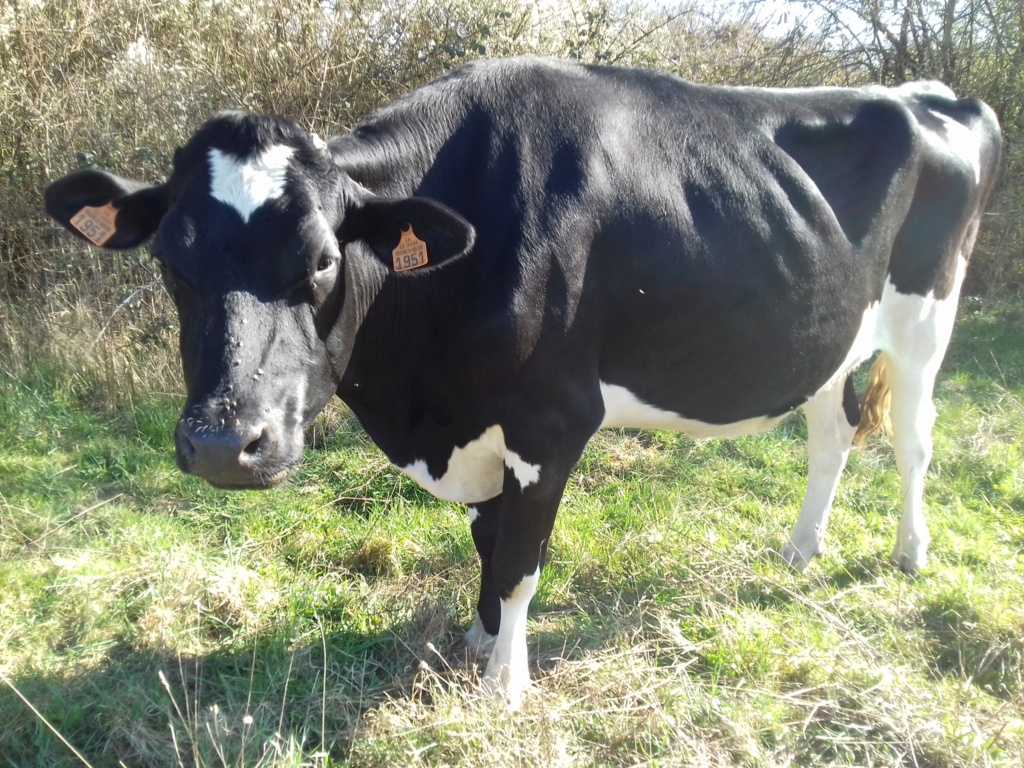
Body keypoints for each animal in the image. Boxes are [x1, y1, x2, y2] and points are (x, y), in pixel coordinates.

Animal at [46, 57, 999, 708]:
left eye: (321, 259)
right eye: (171, 260)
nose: (221, 443)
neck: (423, 408)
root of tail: (938, 94)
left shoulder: (551, 421)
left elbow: (518, 559)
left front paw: (505, 687)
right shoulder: (476, 424)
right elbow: (486, 540)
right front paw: (477, 641)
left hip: (928, 316)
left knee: (914, 438)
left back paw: (909, 551)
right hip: (828, 333)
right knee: (831, 433)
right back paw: (801, 548)